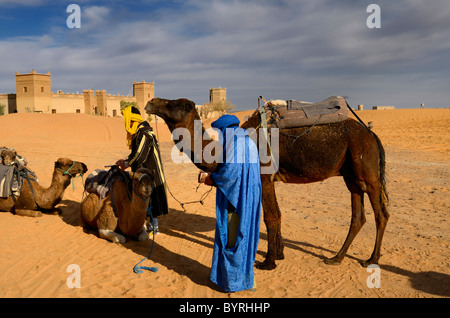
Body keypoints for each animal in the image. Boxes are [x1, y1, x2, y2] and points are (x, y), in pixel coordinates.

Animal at [145, 97, 390, 270]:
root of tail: (372, 135)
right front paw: (279, 254)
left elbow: (271, 216)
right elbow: (276, 214)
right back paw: (336, 257)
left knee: (381, 214)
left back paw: (371, 259)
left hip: (368, 171)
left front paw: (268, 262)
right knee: (358, 216)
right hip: (351, 175)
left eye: (175, 104)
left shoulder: (264, 176)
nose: (151, 102)